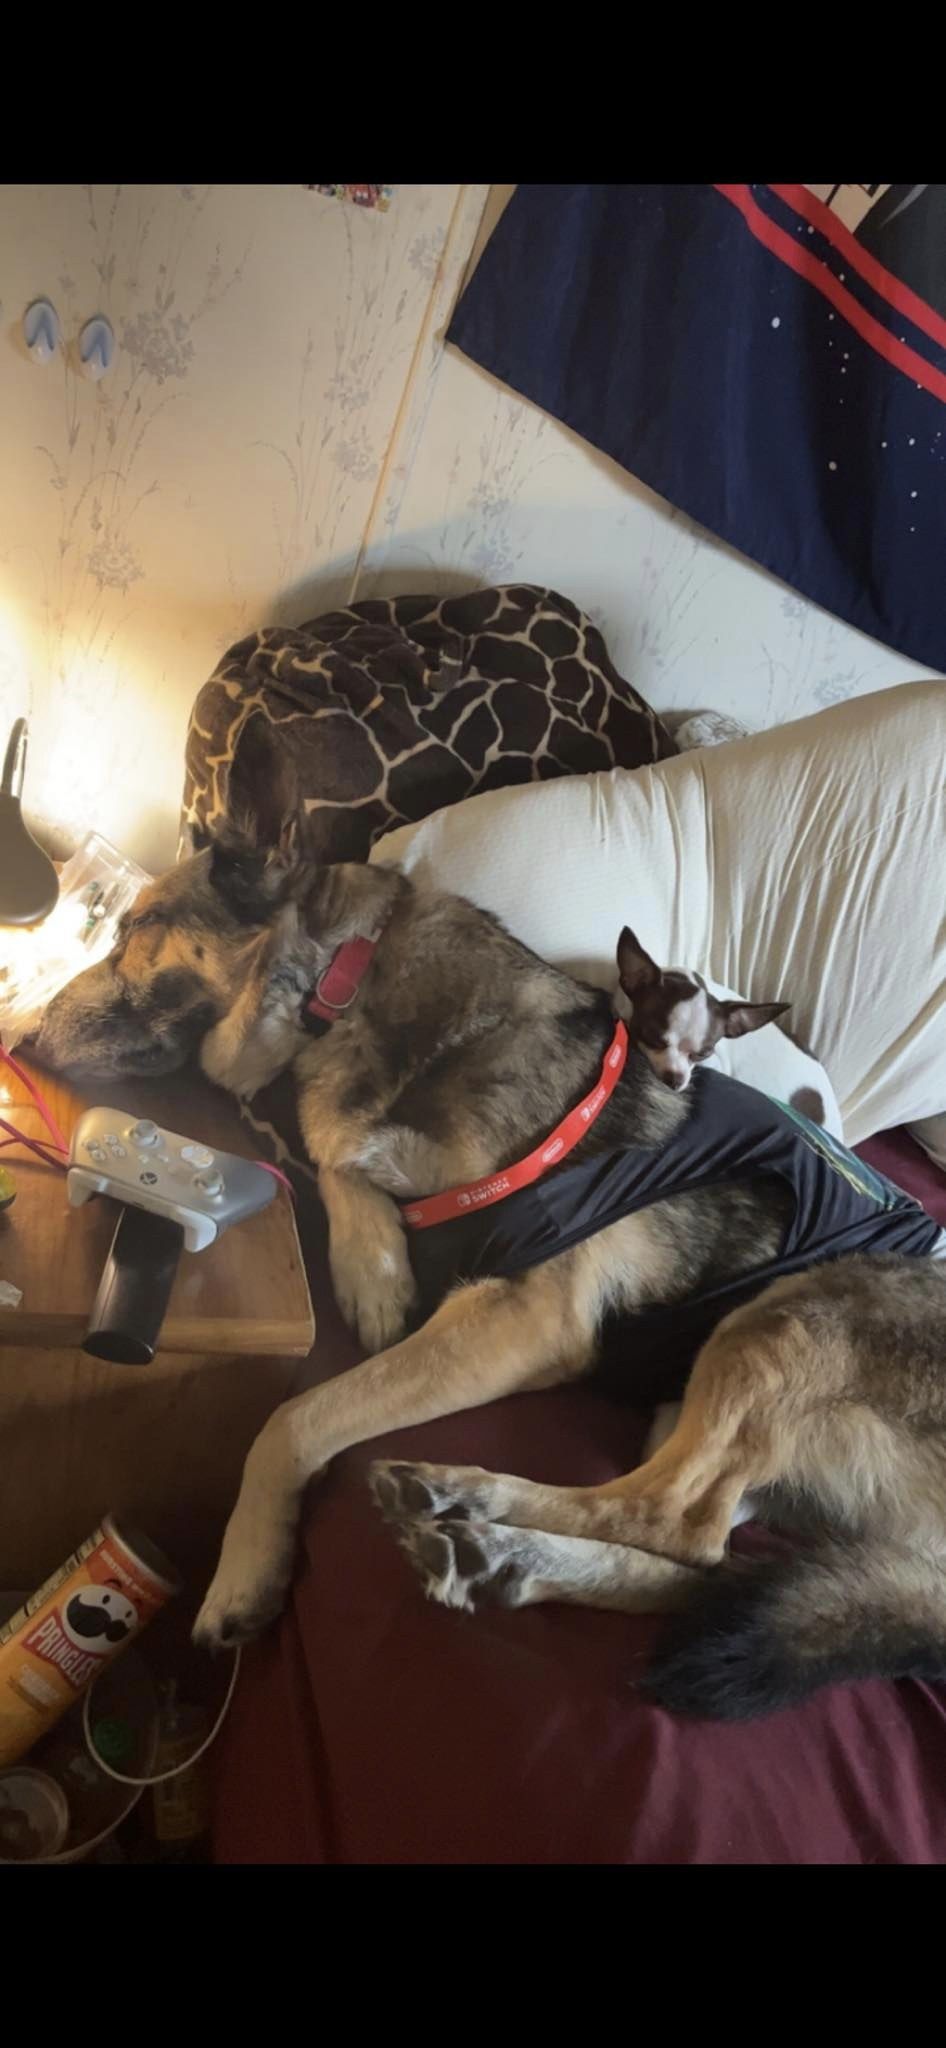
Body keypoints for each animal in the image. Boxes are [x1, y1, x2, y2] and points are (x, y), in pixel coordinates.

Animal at [29, 823, 946, 1720]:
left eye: (140, 927)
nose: (29, 1039)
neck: (345, 980)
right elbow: (345, 1159)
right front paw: (374, 1268)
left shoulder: (523, 1317)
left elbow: (295, 1419)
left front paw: (246, 1565)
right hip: (690, 1402)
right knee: (700, 1560)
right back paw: (495, 1550)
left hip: (783, 1315)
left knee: (666, 1517)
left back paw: (466, 1496)